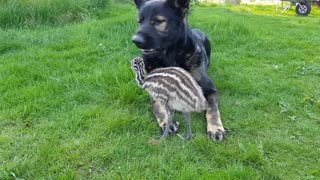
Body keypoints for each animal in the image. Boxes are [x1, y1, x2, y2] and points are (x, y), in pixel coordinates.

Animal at [131, 0, 226, 141]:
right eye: (140, 21)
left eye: (158, 21)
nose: (135, 40)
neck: (170, 56)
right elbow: (157, 106)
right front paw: (166, 122)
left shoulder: (210, 90)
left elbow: (212, 108)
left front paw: (215, 128)